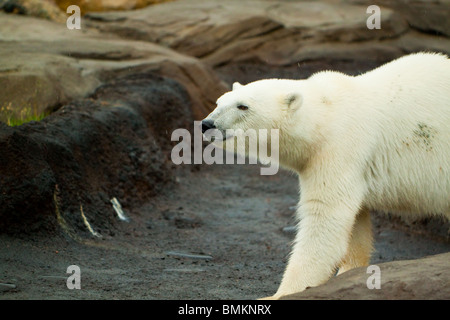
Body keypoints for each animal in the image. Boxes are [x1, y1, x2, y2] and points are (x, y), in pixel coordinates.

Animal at [202, 52, 450, 300]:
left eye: (243, 106)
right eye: (219, 102)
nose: (207, 124)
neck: (325, 115)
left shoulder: (340, 148)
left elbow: (325, 218)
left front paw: (281, 293)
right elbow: (355, 222)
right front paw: (350, 274)